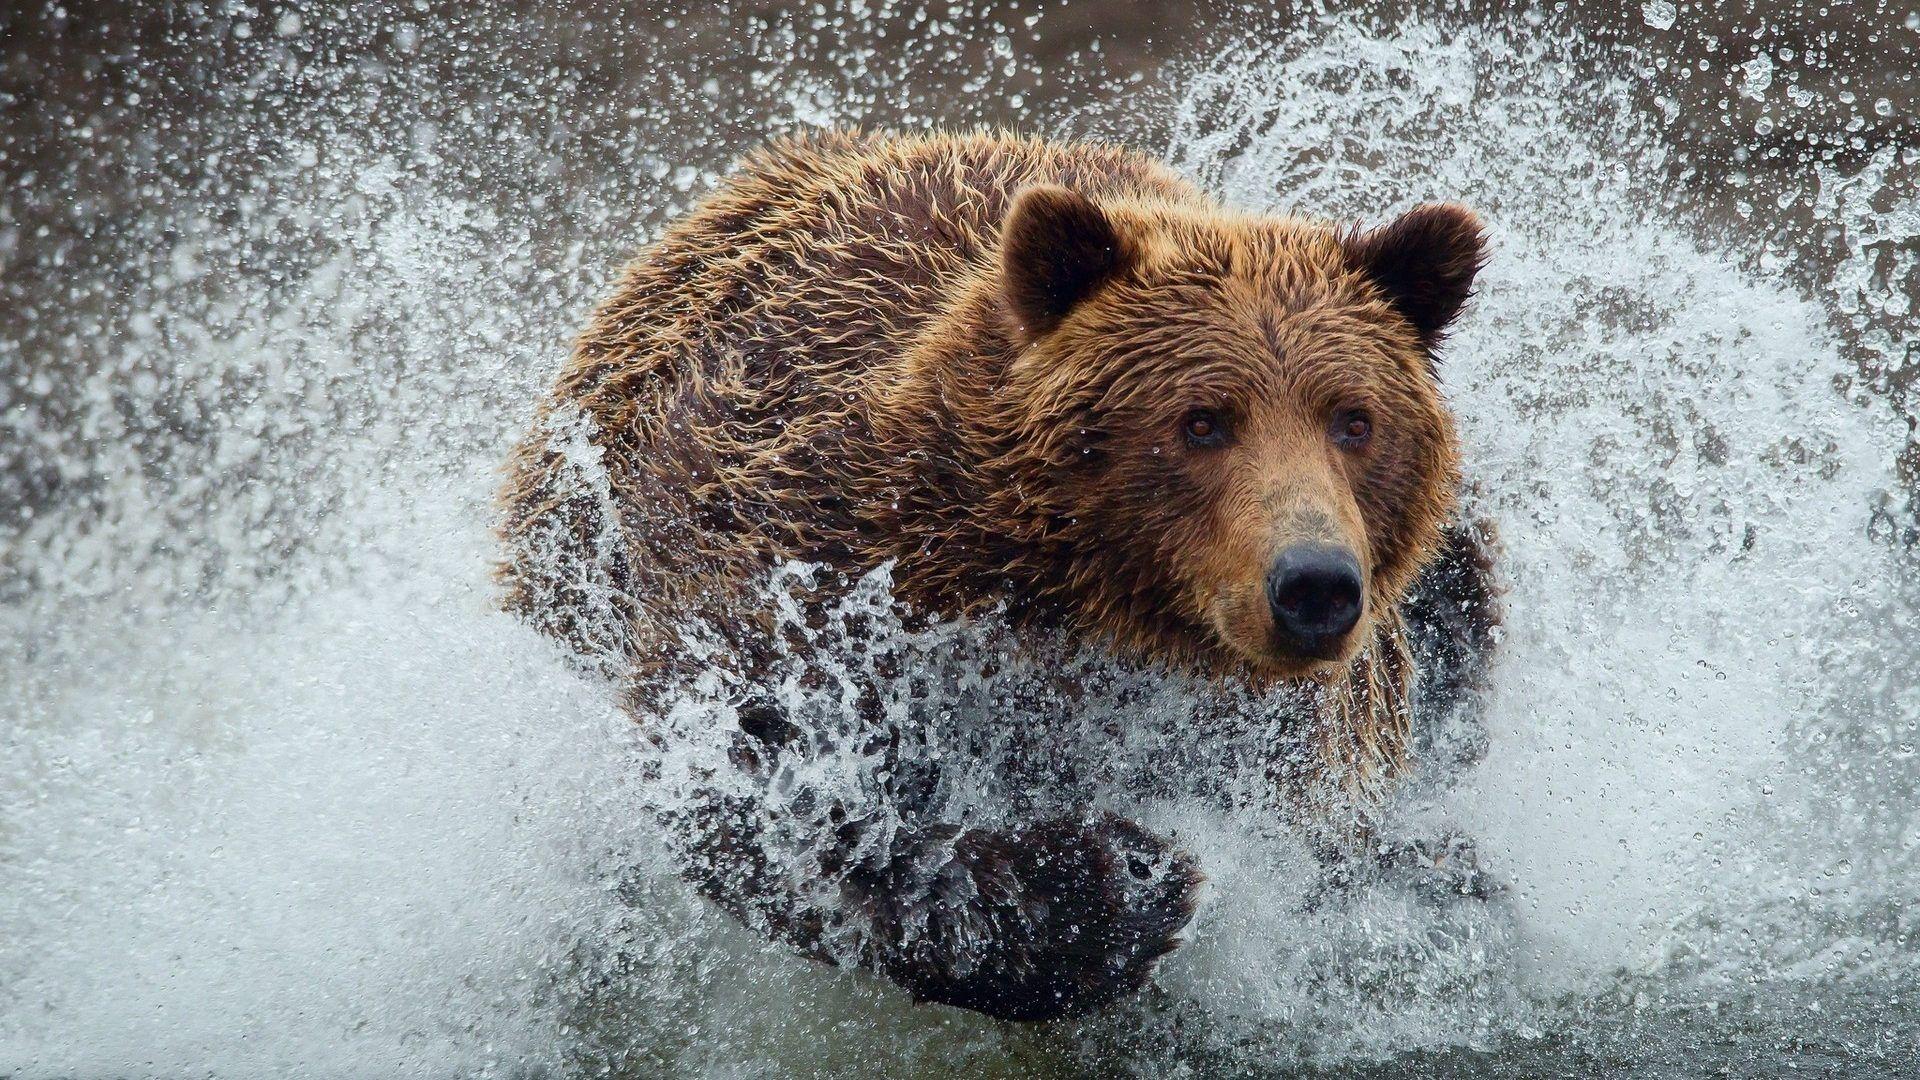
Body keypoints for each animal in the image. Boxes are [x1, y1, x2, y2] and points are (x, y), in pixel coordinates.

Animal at [497, 129, 1497, 1021]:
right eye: (1203, 420)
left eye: (1354, 419)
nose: (1314, 585)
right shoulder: (815, 559)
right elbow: (765, 778)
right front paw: (1118, 879)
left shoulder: (1291, 732)